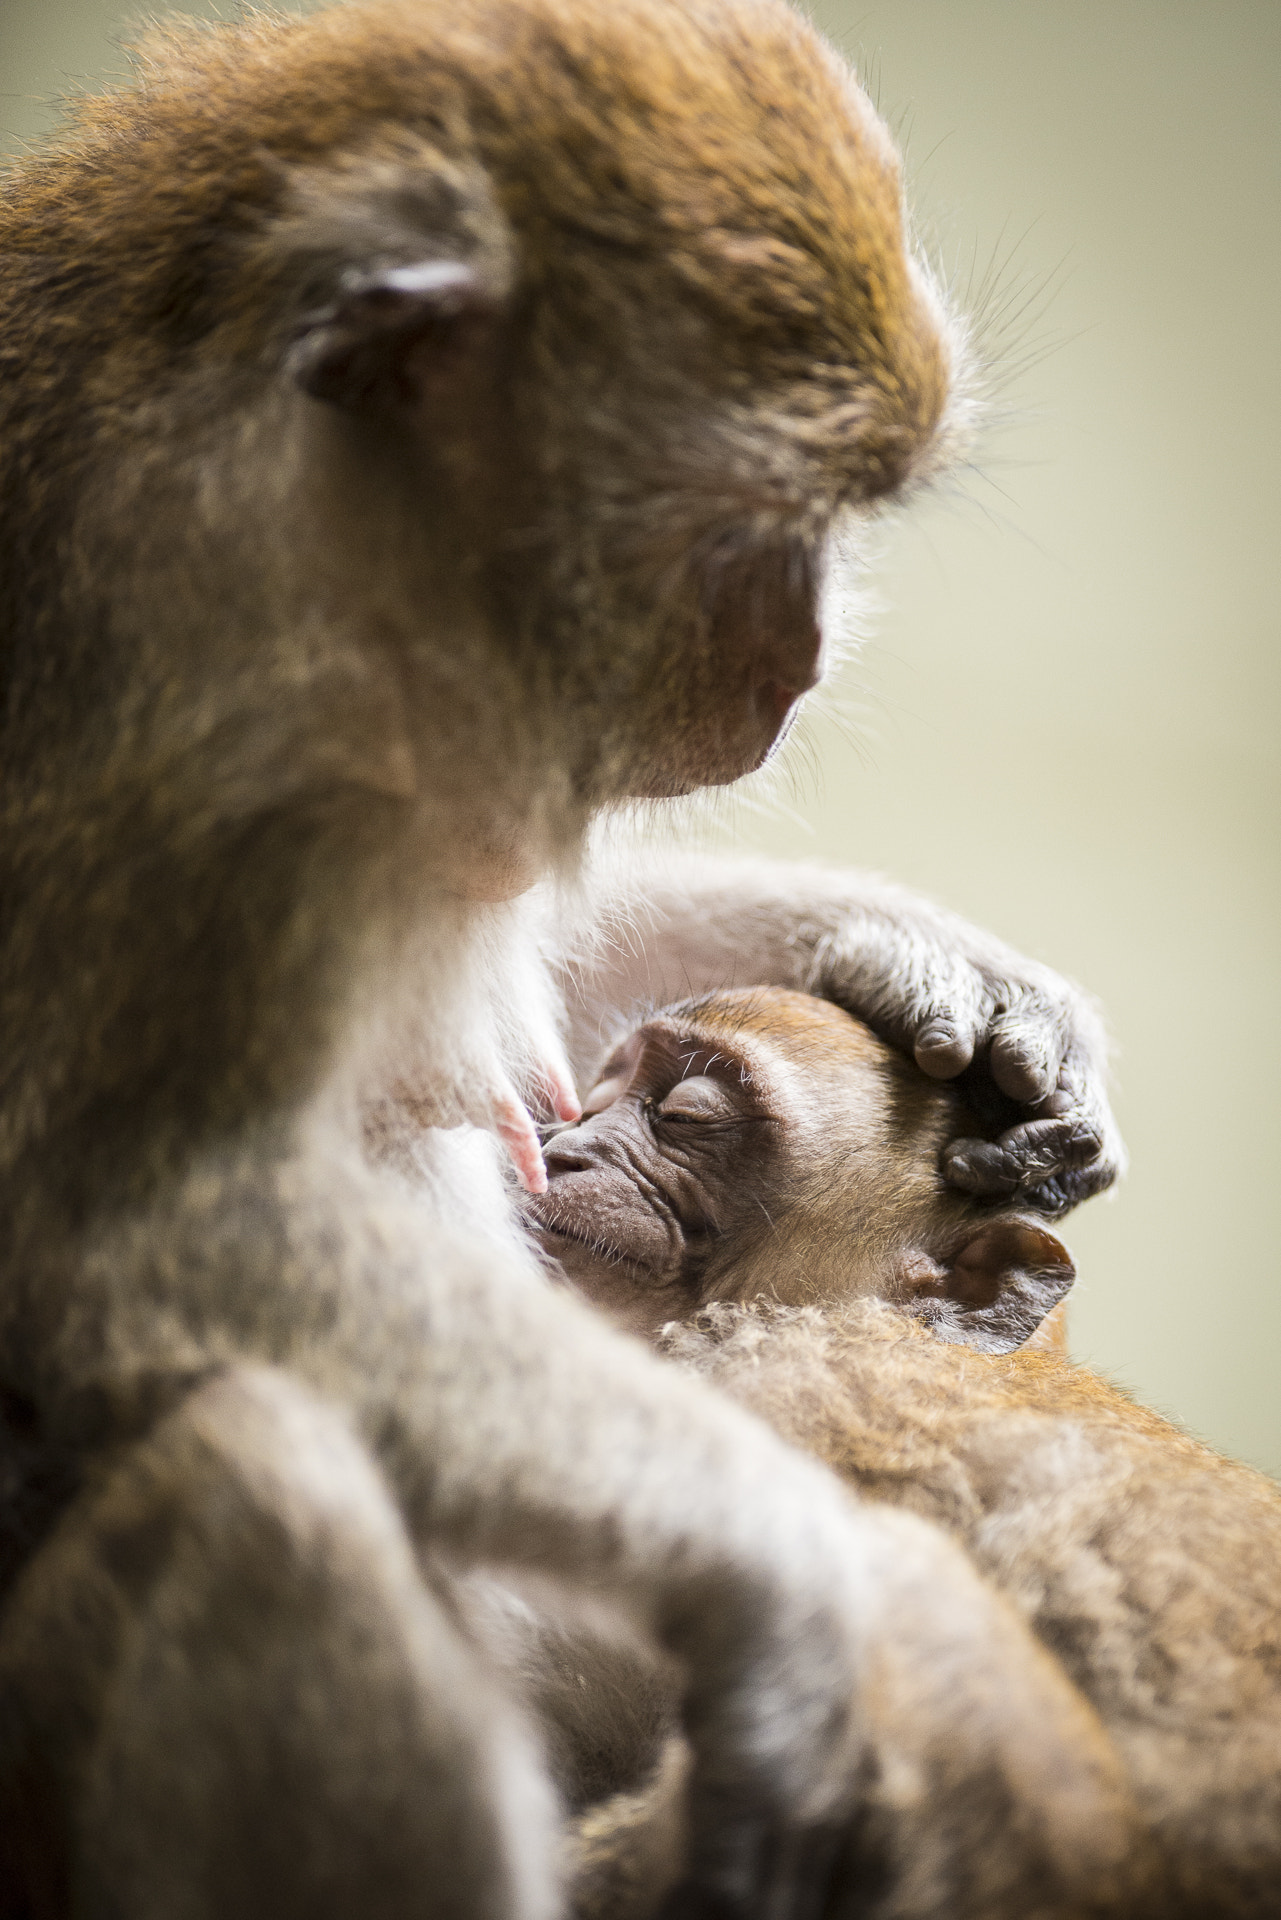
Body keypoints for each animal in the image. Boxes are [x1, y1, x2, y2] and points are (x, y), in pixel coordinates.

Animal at [0, 3, 1121, 1920]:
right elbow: (131, 1224)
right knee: (262, 1480)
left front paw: (933, 969)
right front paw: (788, 1591)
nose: (803, 658)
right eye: (749, 519)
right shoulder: (236, 764)